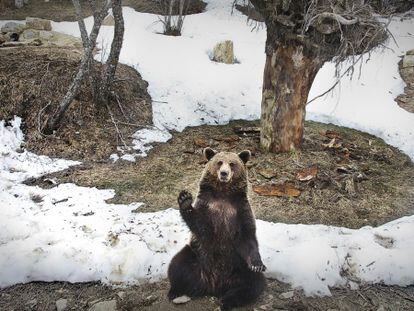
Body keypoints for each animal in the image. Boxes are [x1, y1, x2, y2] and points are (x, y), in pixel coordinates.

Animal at [167, 147, 266, 310]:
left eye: (232, 163)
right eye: (219, 162)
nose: (224, 173)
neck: (223, 194)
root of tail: (214, 285)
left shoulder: (240, 209)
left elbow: (248, 236)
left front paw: (257, 264)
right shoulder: (207, 206)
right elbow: (201, 226)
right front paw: (185, 199)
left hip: (239, 267)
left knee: (253, 283)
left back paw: (227, 301)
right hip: (197, 257)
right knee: (178, 265)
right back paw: (175, 291)